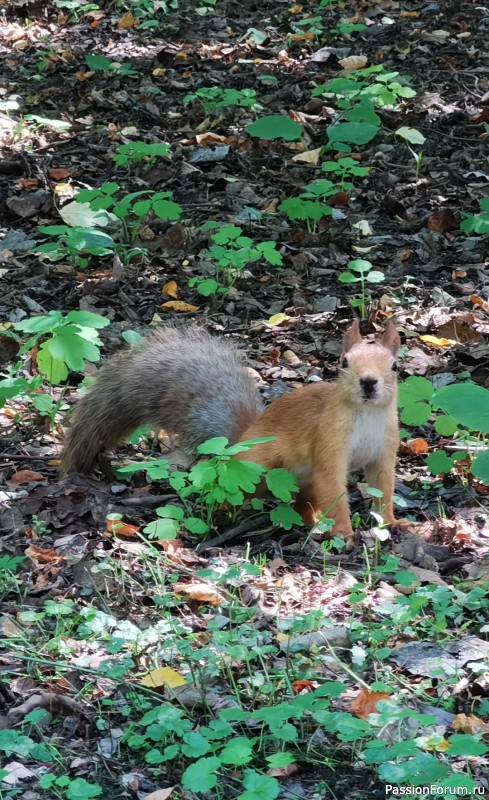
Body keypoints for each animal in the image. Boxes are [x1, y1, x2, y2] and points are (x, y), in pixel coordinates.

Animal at [62, 320, 400, 544]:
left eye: (395, 366)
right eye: (344, 362)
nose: (368, 382)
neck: (368, 414)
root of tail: (239, 441)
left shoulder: (384, 451)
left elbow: (383, 486)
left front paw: (392, 522)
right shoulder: (329, 441)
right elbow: (334, 487)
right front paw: (344, 531)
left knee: (301, 502)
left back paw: (313, 523)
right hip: (257, 470)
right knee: (229, 496)